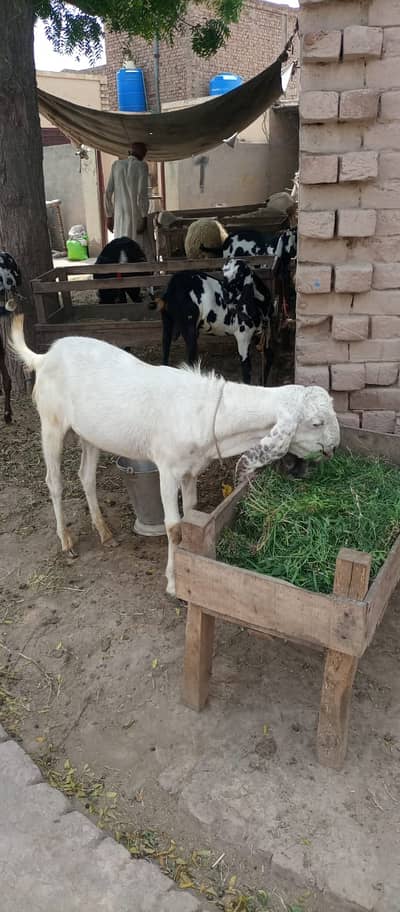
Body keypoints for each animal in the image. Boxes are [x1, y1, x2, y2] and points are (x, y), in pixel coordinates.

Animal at [10, 313, 340, 596]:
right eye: (316, 422)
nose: (334, 447)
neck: (206, 411)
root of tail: (45, 356)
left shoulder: (190, 470)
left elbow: (190, 510)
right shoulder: (167, 469)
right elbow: (172, 526)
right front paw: (173, 582)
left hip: (89, 434)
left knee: (86, 477)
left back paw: (104, 532)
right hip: (51, 423)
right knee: (54, 482)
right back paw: (66, 541)